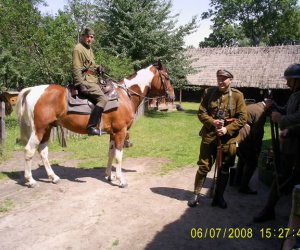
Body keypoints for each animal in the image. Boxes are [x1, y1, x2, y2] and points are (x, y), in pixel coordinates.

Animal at [16, 60, 175, 188]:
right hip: (39, 129)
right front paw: (121, 180)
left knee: (43, 151)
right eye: (166, 77)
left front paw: (109, 175)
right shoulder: (120, 132)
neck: (124, 95)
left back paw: (53, 177)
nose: (172, 95)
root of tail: (33, 90)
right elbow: (119, 155)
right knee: (29, 151)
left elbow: (111, 153)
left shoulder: (113, 133)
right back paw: (30, 180)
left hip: (47, 129)